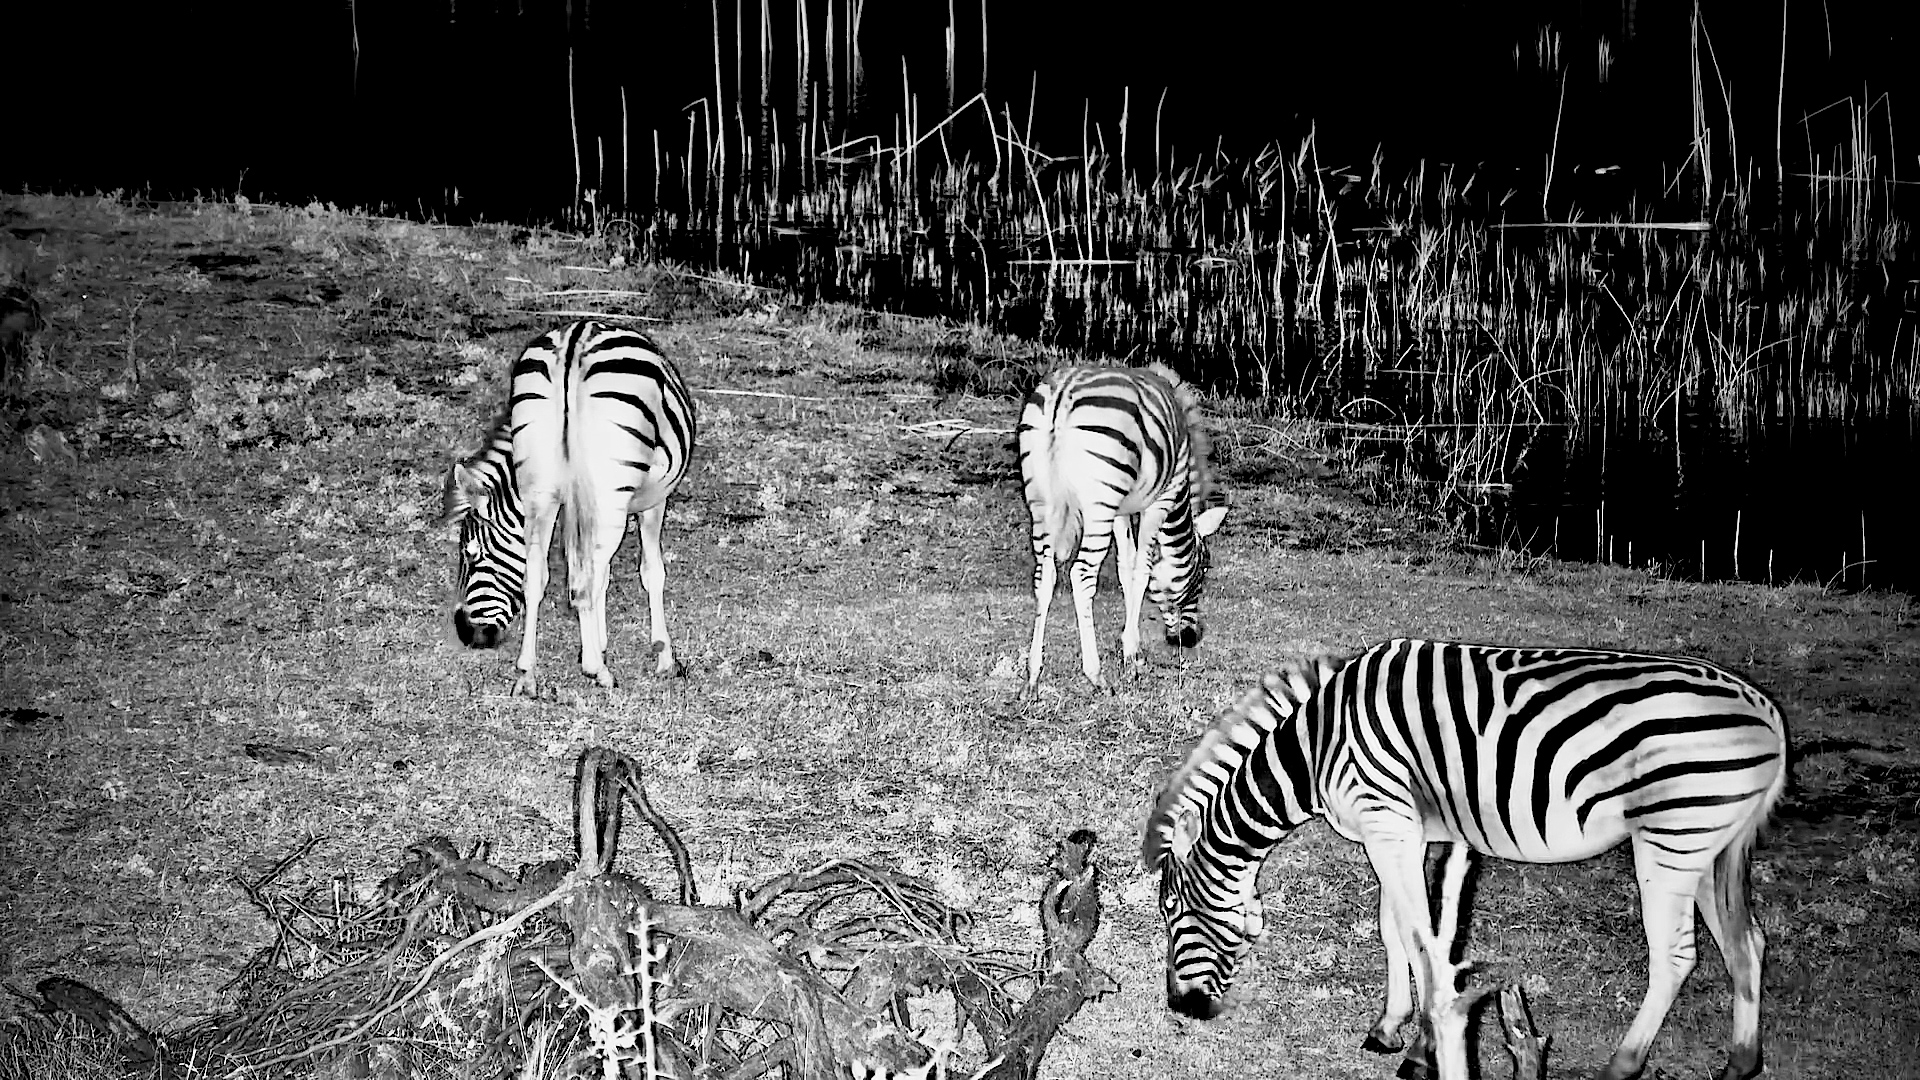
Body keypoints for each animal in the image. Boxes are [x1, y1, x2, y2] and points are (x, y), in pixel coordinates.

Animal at [443, 321, 696, 695]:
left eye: (473, 555)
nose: (466, 634)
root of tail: (574, 344)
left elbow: (600, 575)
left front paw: (597, 643)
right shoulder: (652, 500)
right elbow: (649, 573)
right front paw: (662, 656)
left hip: (541, 488)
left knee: (536, 576)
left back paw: (527, 674)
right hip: (609, 490)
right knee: (583, 580)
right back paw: (597, 670)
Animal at [1015, 364, 1229, 698]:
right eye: (1204, 570)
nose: (1190, 639)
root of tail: (1063, 392)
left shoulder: (1121, 510)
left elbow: (1125, 568)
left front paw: (1132, 652)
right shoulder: (1161, 499)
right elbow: (1142, 570)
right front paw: (1132, 657)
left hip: (1041, 498)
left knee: (1044, 576)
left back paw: (1033, 677)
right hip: (1099, 502)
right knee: (1081, 575)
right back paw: (1096, 676)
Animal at [1144, 638, 1788, 1080]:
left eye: (1172, 911)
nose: (1180, 1007)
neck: (1316, 747)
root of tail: (1766, 710)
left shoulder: (1385, 820)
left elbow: (1414, 937)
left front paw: (1420, 1046)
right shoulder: (1407, 831)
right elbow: (1404, 930)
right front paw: (1394, 1028)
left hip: (1671, 838)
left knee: (1676, 957)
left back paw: (1620, 1067)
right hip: (1715, 846)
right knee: (1748, 942)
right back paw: (1741, 1063)